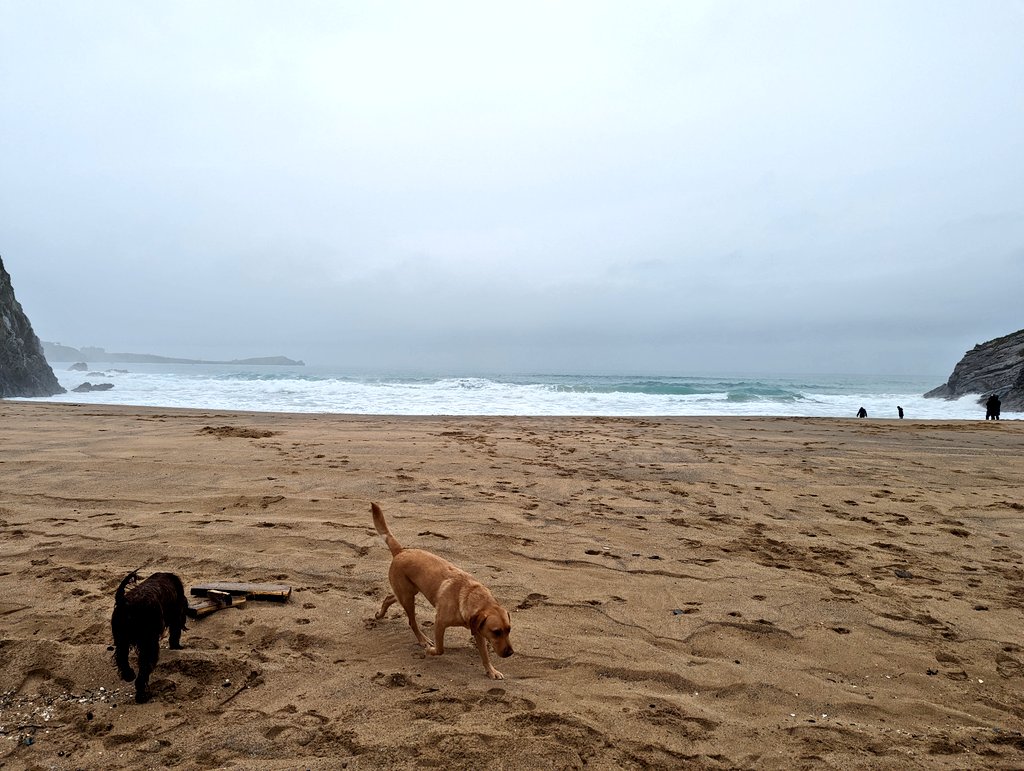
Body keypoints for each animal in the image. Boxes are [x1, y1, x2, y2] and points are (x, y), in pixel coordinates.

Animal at [113, 569, 189, 700]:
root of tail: (126, 604)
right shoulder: (176, 614)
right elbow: (175, 633)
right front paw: (176, 646)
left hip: (122, 642)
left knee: (122, 660)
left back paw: (129, 676)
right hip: (148, 644)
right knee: (144, 670)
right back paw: (142, 695)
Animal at [370, 501, 512, 675]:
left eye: (509, 630)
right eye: (496, 632)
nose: (510, 653)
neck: (468, 596)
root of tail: (401, 551)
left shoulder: (478, 629)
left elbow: (485, 654)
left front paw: (492, 671)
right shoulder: (440, 622)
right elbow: (440, 649)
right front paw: (431, 651)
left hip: (407, 591)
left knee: (389, 597)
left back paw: (380, 614)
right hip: (408, 597)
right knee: (412, 622)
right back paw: (423, 640)